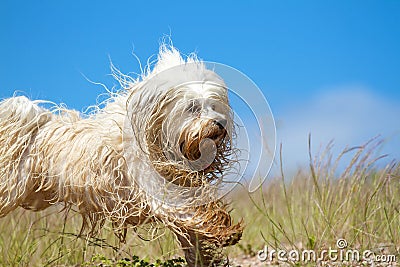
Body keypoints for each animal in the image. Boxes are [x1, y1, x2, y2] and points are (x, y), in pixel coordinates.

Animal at [0, 43, 241, 266]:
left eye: (214, 105)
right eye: (192, 107)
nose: (220, 123)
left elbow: (192, 235)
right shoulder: (156, 192)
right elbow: (188, 213)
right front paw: (225, 230)